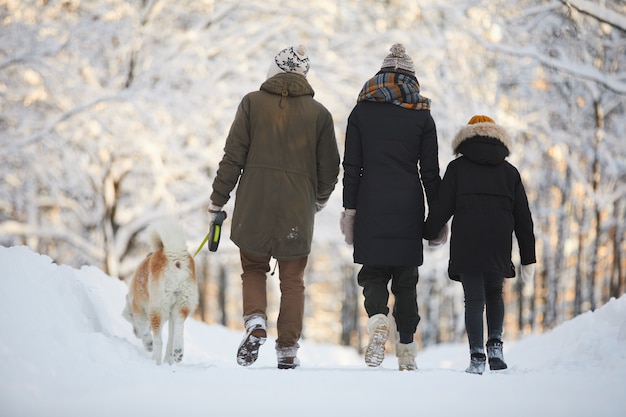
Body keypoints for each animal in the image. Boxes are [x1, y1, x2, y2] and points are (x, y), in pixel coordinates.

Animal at [122, 218, 197, 364]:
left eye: (130, 318)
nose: (135, 334)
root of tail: (173, 254)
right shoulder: (171, 315)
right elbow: (170, 338)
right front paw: (169, 360)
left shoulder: (139, 311)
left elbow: (144, 329)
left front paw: (147, 343)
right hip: (182, 303)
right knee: (179, 327)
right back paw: (178, 351)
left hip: (157, 308)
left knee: (159, 341)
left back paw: (155, 361)